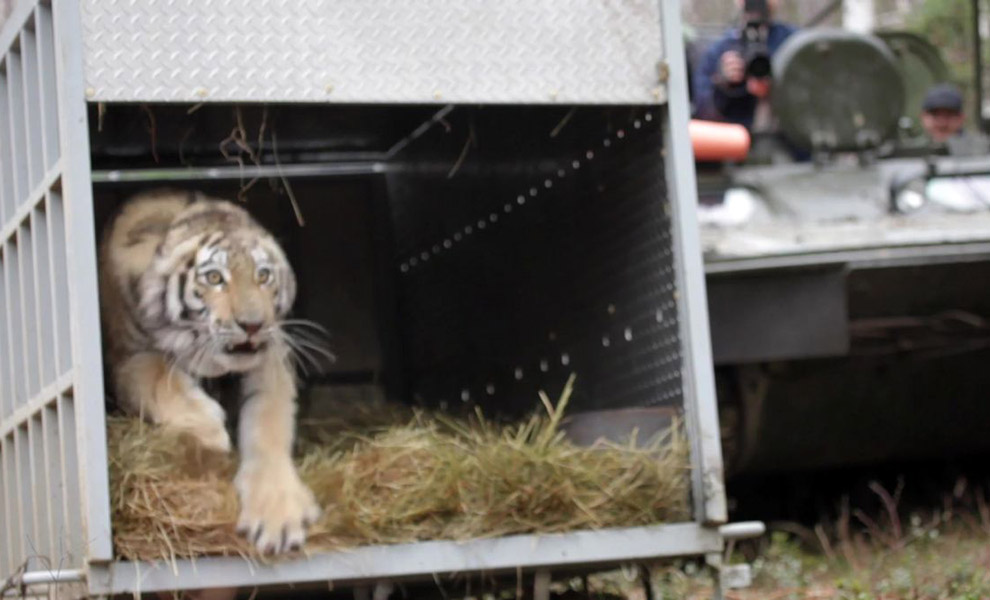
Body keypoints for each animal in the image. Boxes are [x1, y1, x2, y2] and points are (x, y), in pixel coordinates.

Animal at [99, 190, 320, 556]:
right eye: (215, 278)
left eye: (263, 276)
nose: (253, 325)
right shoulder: (128, 359)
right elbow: (161, 377)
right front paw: (210, 433)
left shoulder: (270, 358)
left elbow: (268, 422)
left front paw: (277, 515)